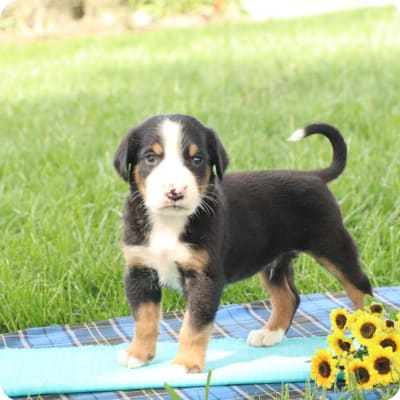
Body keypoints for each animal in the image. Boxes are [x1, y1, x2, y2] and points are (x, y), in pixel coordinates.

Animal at [114, 114, 374, 374]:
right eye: (150, 157)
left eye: (197, 159)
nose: (175, 192)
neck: (168, 222)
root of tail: (314, 176)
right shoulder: (139, 272)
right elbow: (144, 319)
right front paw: (138, 354)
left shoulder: (204, 279)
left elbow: (193, 327)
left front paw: (185, 364)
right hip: (274, 262)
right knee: (289, 297)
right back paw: (269, 334)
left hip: (333, 245)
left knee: (361, 289)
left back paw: (368, 335)